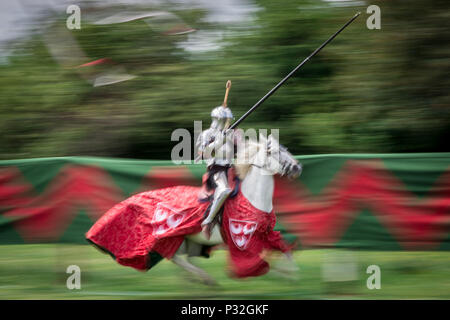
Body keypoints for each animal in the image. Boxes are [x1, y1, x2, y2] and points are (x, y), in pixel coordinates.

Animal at [172, 135, 302, 284]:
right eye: (273, 151)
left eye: (285, 149)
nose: (297, 168)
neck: (254, 198)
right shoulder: (246, 242)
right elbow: (259, 262)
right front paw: (282, 273)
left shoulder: (267, 233)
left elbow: (284, 249)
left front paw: (290, 274)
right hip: (177, 239)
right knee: (176, 258)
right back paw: (206, 279)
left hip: (194, 241)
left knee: (189, 259)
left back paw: (198, 280)